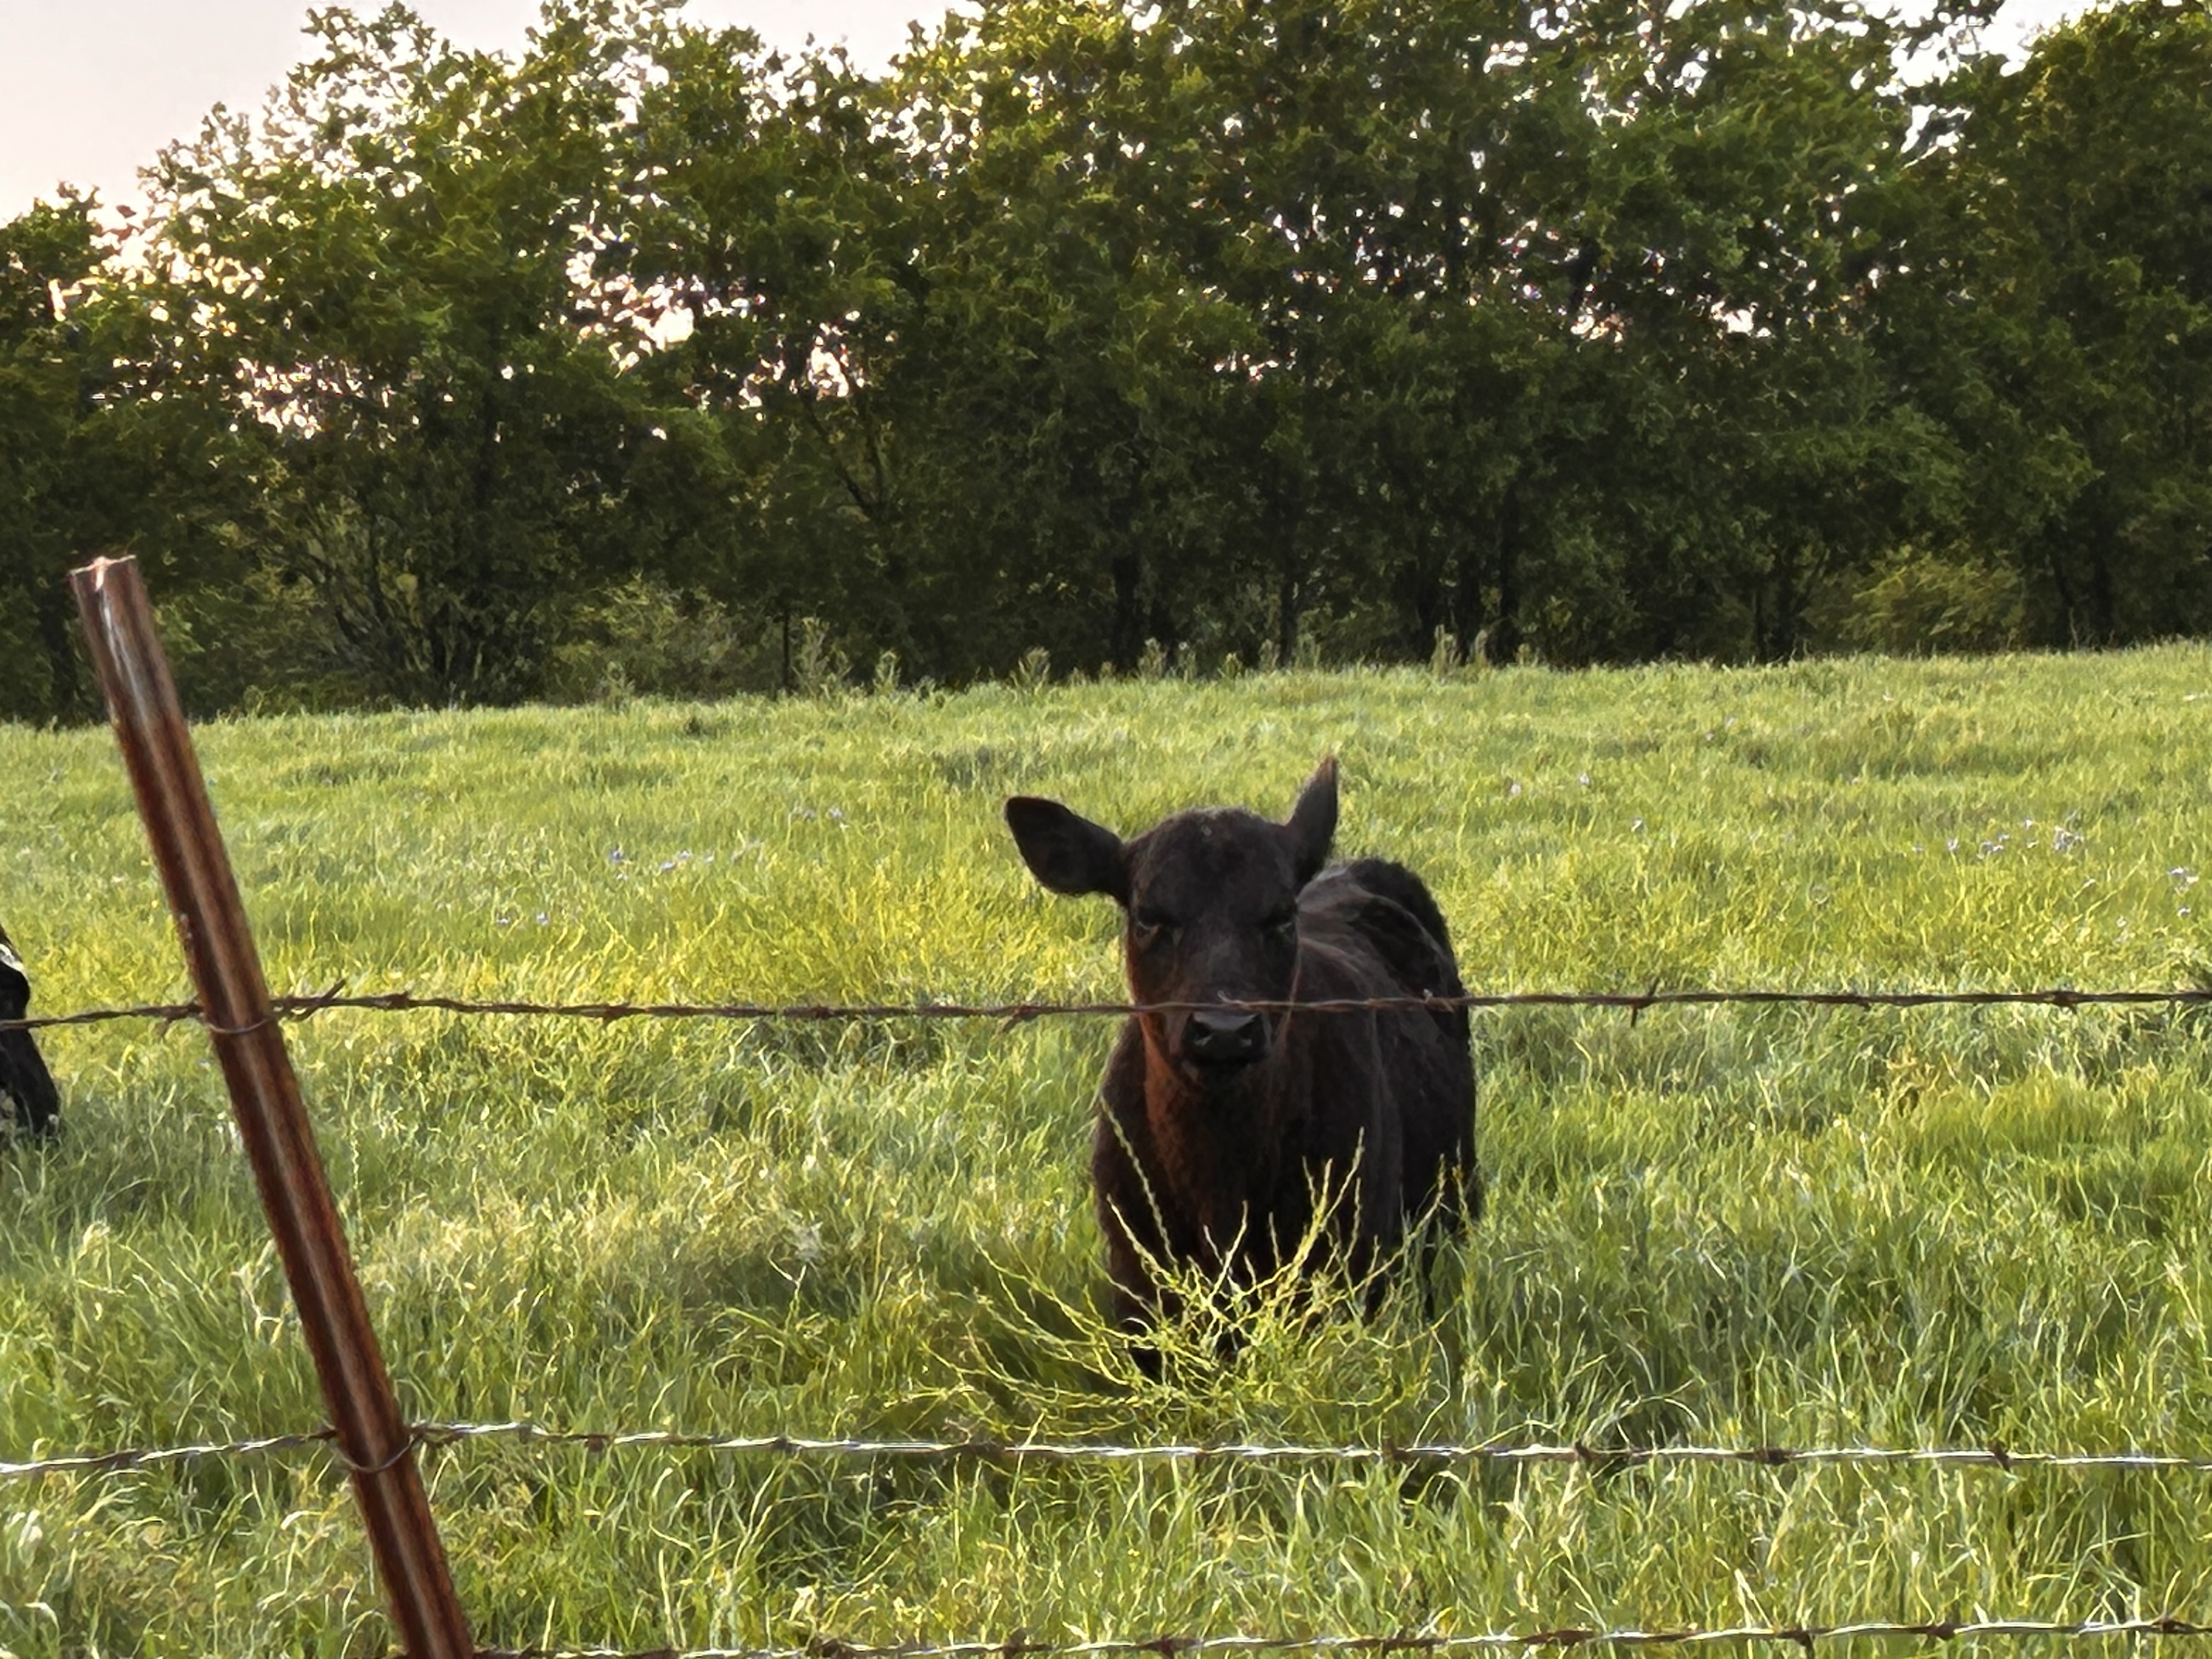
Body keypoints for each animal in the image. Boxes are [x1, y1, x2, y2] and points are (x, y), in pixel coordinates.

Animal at [1004, 757, 1478, 1352]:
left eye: (1281, 916)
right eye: (1148, 917)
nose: (1225, 1031)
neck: (1221, 1178)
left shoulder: (1354, 1270)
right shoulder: (1138, 1293)